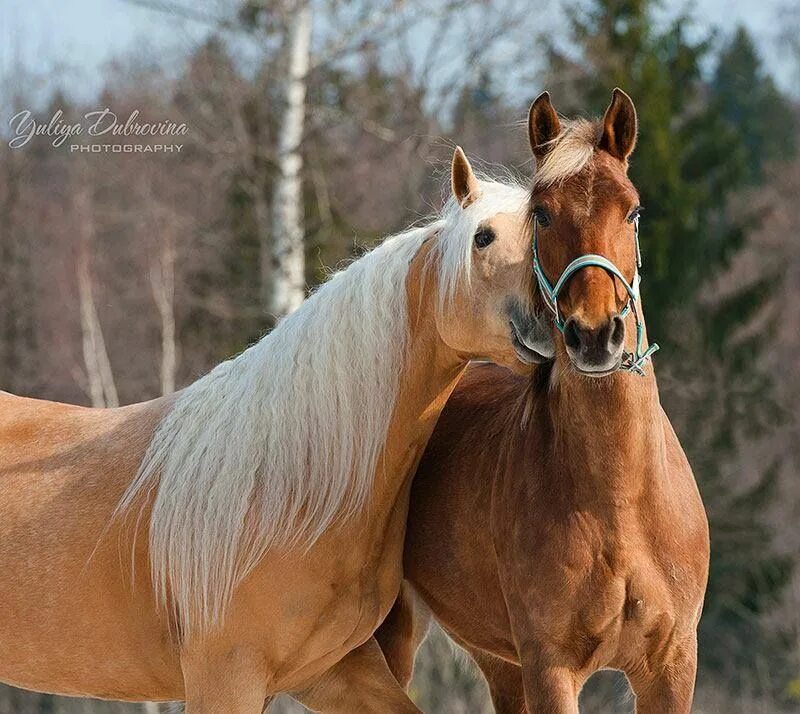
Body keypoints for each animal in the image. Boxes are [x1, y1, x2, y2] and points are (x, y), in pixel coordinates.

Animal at [378, 92, 708, 708]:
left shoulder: (672, 665)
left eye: (633, 212)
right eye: (543, 214)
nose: (595, 335)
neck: (618, 502)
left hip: (498, 661)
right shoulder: (551, 665)